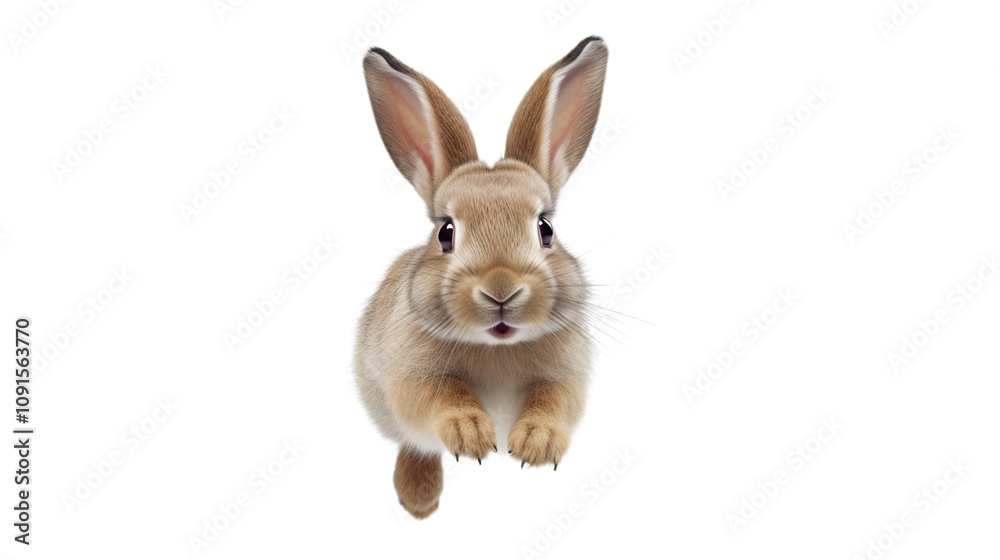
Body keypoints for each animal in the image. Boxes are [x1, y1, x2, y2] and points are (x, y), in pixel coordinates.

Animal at [355, 36, 608, 519]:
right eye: (446, 233)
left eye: (545, 229)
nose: (500, 290)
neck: (497, 347)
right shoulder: (410, 376)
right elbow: (440, 397)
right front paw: (471, 434)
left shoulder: (565, 378)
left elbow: (553, 402)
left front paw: (535, 445)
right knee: (414, 444)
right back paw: (419, 501)